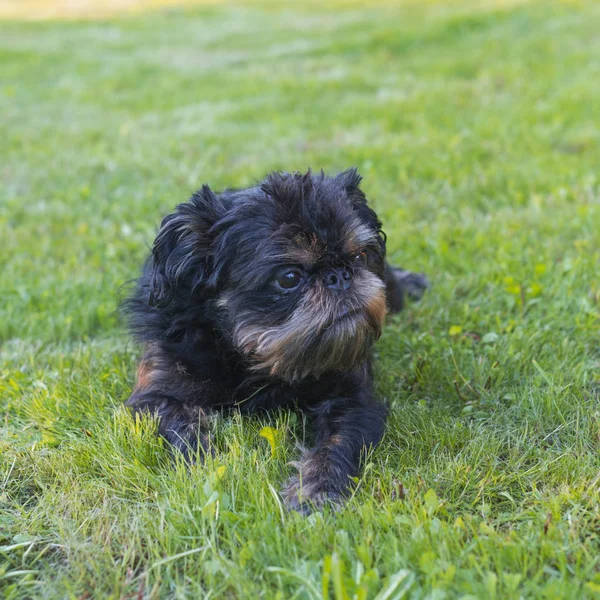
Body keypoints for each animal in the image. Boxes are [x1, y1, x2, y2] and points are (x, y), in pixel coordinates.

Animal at [125, 168, 426, 510]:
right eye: (289, 278)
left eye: (361, 255)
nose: (340, 275)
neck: (254, 359)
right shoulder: (157, 396)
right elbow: (184, 431)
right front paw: (209, 469)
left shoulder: (353, 398)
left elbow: (338, 443)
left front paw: (317, 490)